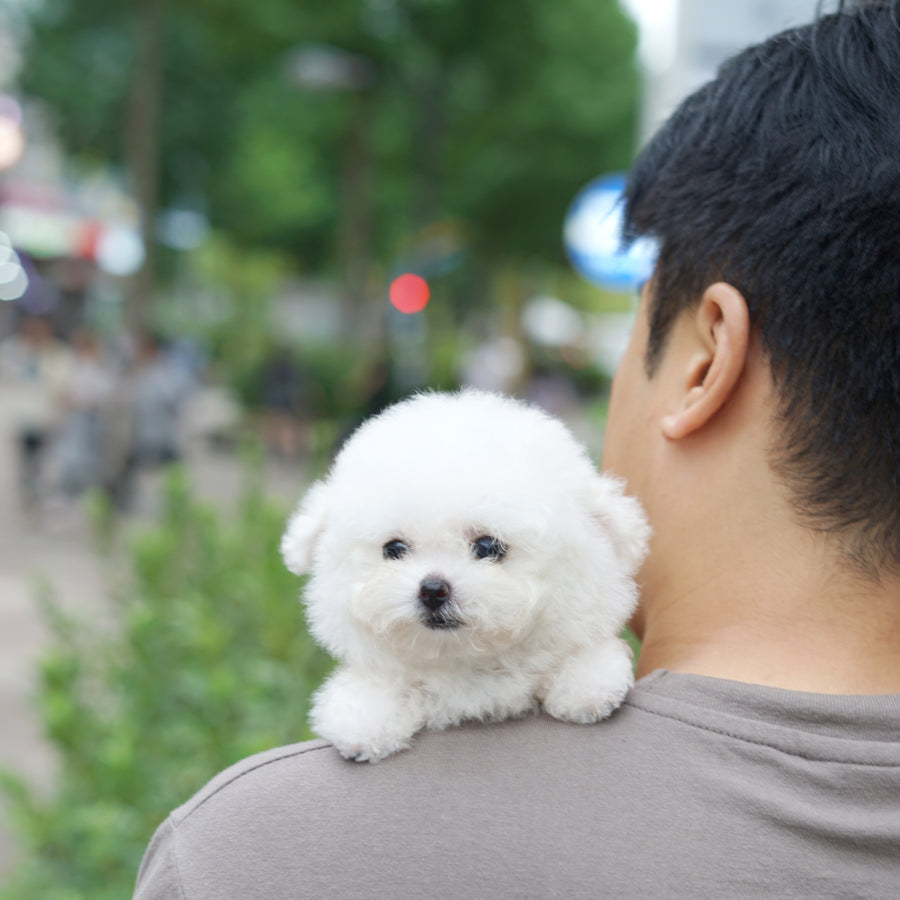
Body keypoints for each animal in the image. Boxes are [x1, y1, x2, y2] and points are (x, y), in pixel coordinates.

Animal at [282, 390, 648, 764]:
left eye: (487, 546)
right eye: (394, 549)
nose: (432, 589)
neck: (463, 659)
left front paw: (588, 680)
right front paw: (364, 716)